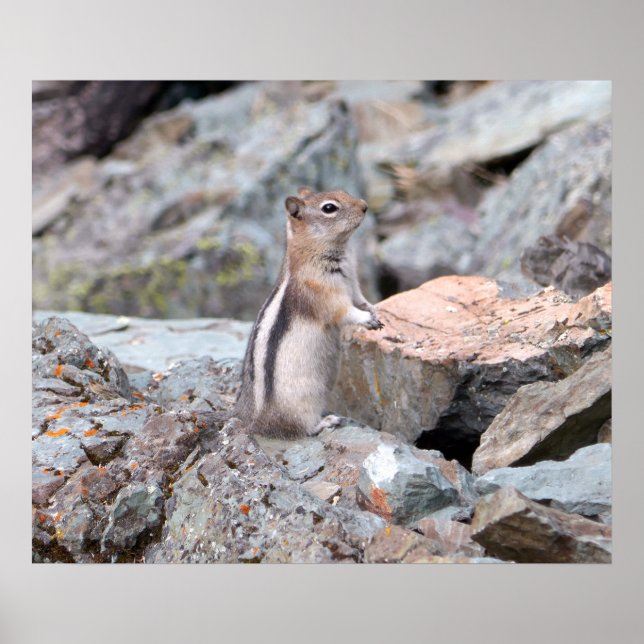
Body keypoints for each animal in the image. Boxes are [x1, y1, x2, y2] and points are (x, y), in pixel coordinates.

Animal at [234, 187, 383, 439]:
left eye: (343, 190)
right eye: (329, 208)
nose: (365, 206)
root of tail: (256, 424)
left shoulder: (353, 283)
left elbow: (360, 300)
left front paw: (375, 310)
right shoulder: (325, 294)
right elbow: (344, 312)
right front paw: (366, 319)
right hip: (303, 401)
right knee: (302, 427)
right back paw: (327, 421)